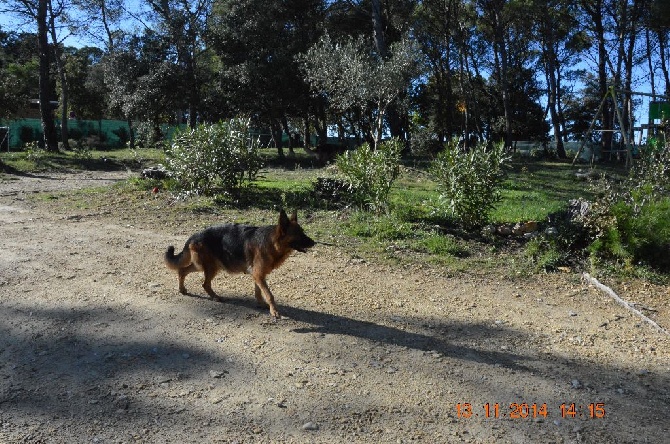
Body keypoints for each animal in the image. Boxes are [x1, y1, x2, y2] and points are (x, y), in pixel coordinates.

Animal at [167, 210, 316, 318]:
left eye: (303, 232)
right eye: (299, 234)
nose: (314, 242)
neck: (271, 242)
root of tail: (195, 235)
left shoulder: (258, 275)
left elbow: (258, 291)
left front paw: (261, 304)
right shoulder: (258, 274)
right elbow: (269, 295)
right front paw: (274, 311)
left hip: (206, 265)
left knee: (182, 270)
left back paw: (182, 289)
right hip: (210, 266)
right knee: (204, 283)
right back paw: (215, 297)